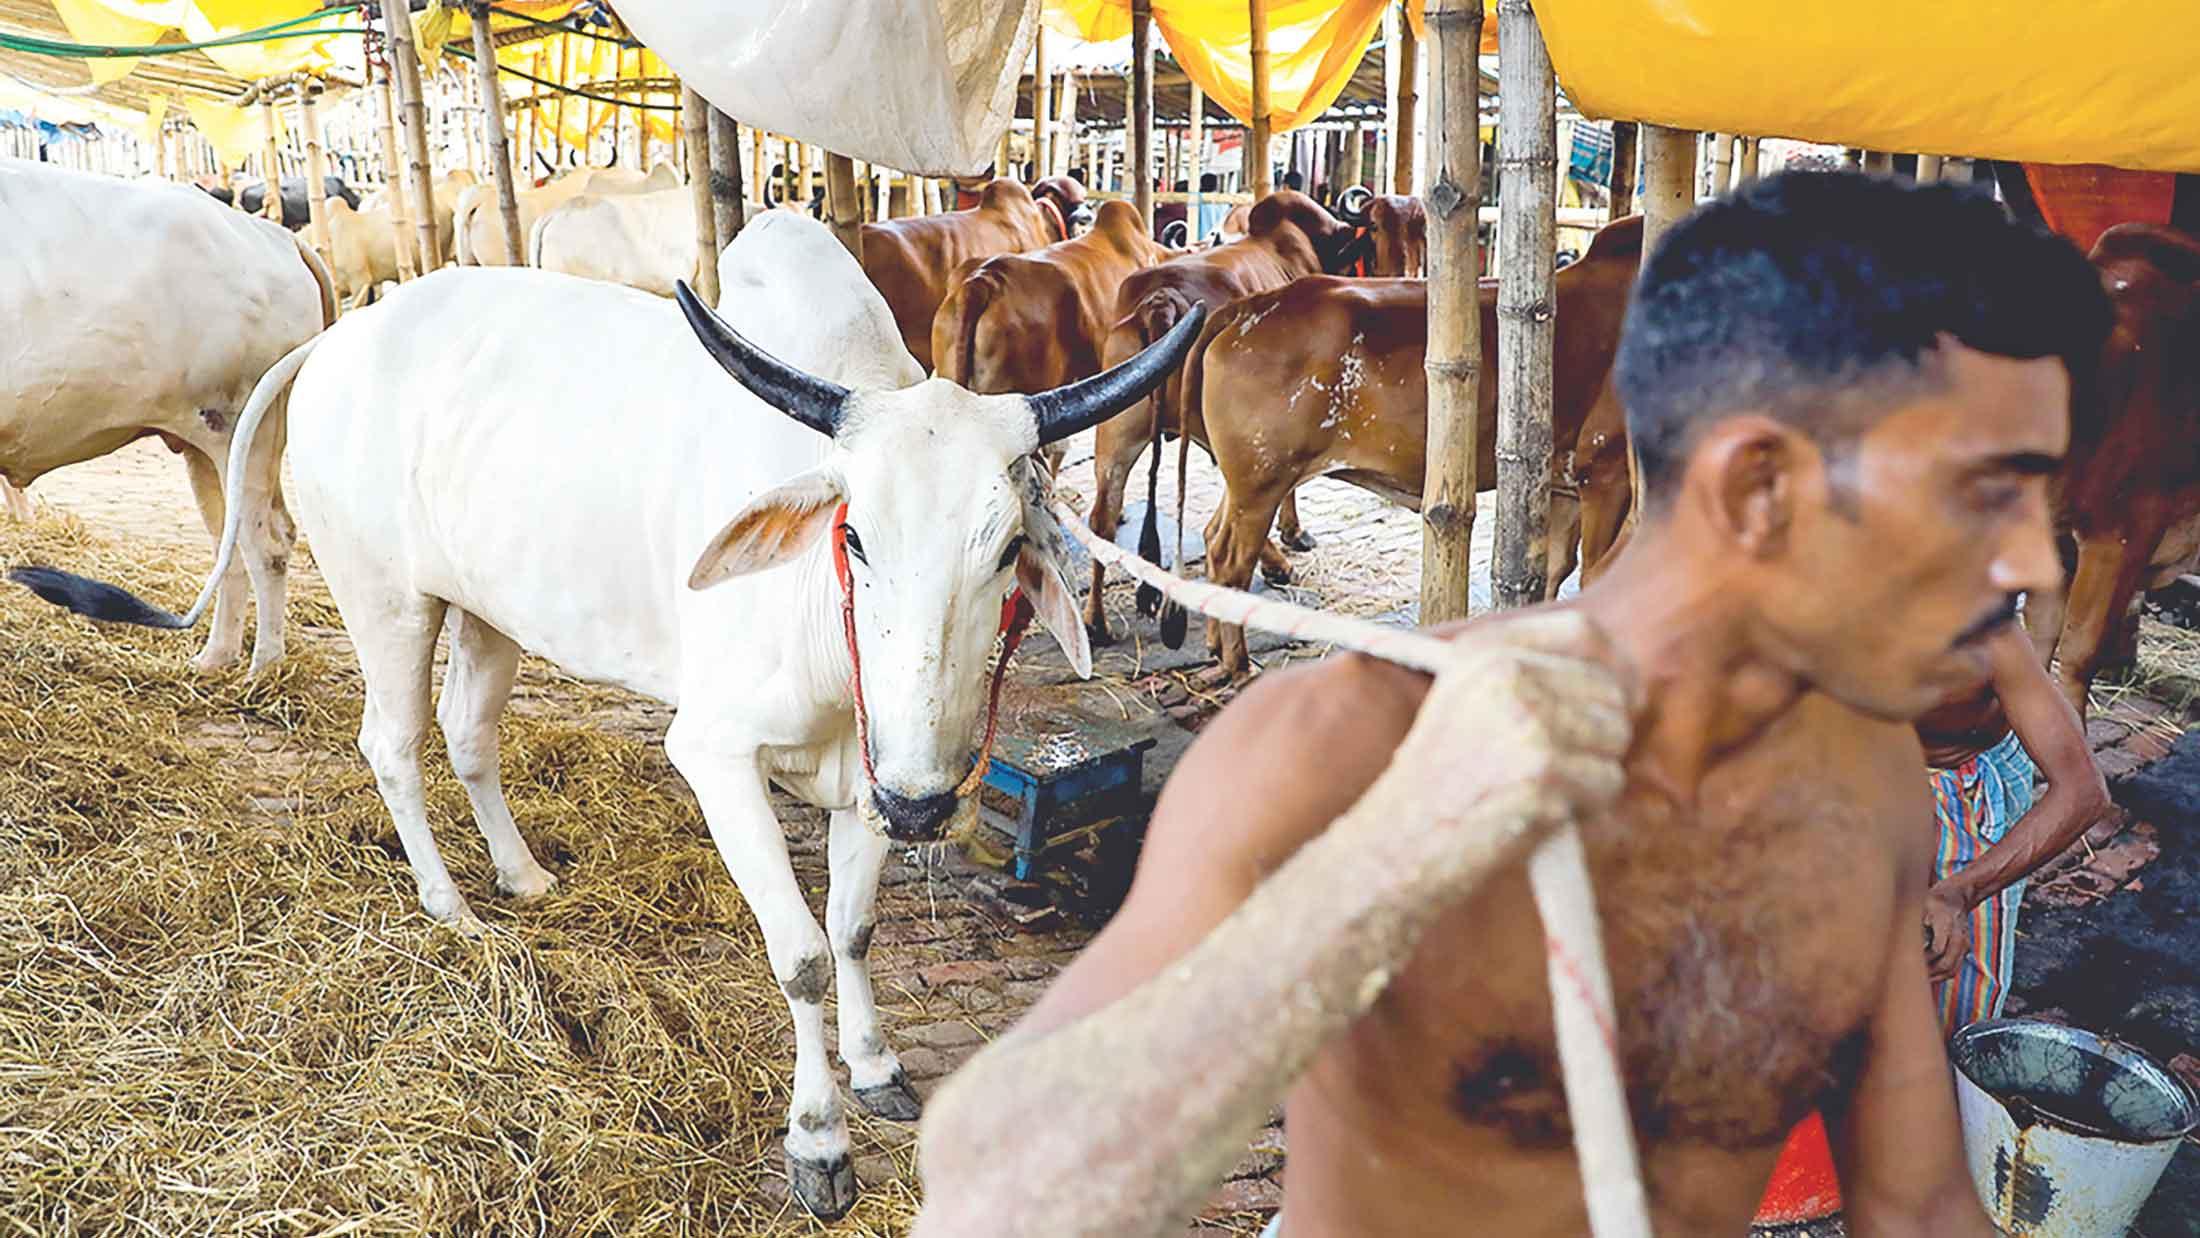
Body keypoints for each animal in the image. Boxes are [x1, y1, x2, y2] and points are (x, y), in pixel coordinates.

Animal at [1, 162, 330, 677]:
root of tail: (276, 236)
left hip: (246, 429)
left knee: (269, 544)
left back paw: (264, 667)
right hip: (203, 442)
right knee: (228, 546)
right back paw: (215, 658)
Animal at [21, 213, 1205, 1222]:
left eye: (1007, 547)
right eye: (855, 536)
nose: (926, 806)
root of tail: (339, 336)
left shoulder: (876, 772)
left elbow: (855, 927)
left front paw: (874, 1068)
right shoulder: (718, 755)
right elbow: (801, 955)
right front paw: (817, 1143)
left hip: (489, 610)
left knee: (468, 732)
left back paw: (523, 875)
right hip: (386, 600)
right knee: (393, 744)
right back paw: (453, 906)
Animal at [1086, 191, 1372, 650]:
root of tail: (1162, 299)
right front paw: (1293, 535)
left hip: (1116, 428)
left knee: (1102, 518)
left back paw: (1096, 622)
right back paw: (1274, 563)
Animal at [1196, 216, 1645, 672]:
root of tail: (1252, 305)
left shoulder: (1565, 485)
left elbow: (1554, 572)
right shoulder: (1605, 473)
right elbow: (1593, 577)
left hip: (1249, 482)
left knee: (1214, 540)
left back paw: (1216, 646)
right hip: (1262, 482)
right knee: (1231, 563)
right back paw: (1237, 663)